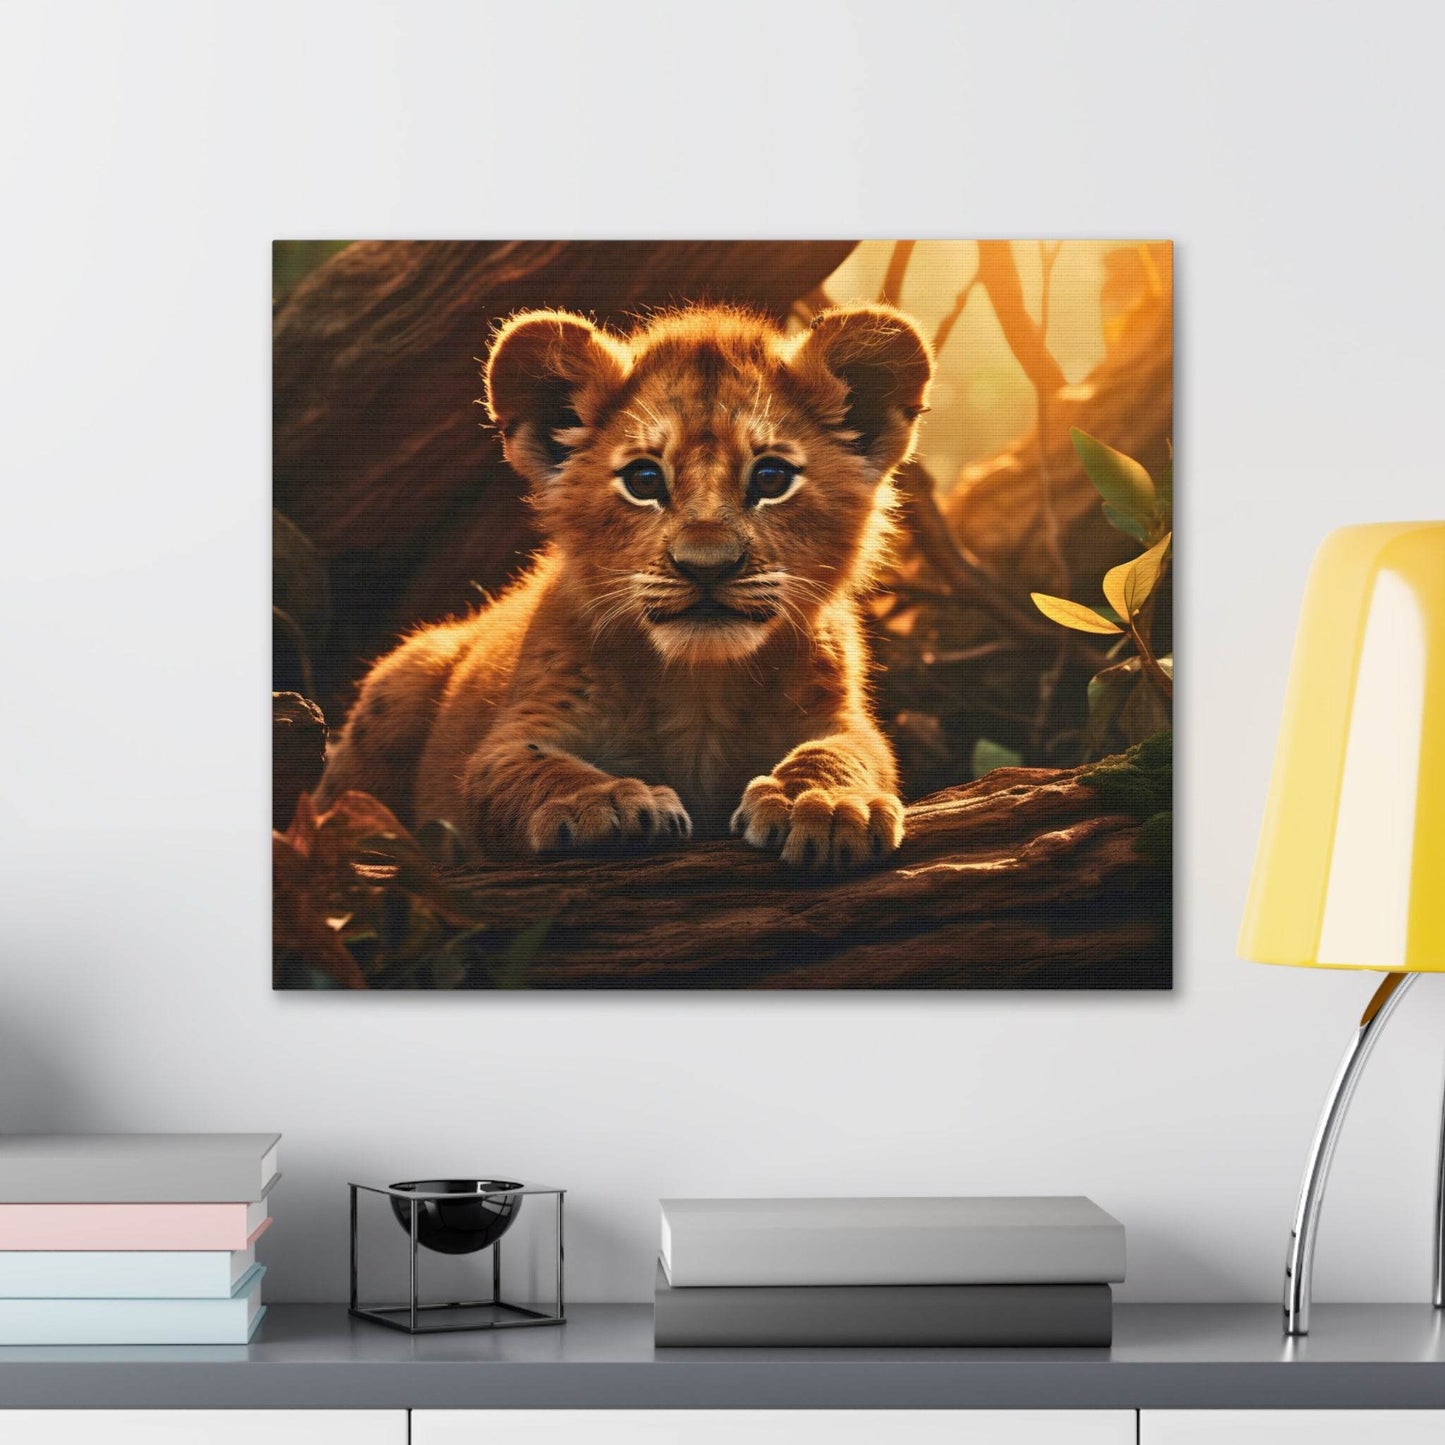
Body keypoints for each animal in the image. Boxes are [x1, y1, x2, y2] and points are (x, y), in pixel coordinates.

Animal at [315, 301, 934, 871]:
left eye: (771, 477)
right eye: (643, 480)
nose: (707, 565)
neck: (700, 687)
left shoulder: (842, 717)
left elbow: (842, 752)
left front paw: (824, 803)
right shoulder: (516, 732)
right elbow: (533, 768)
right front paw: (603, 802)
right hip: (403, 679)